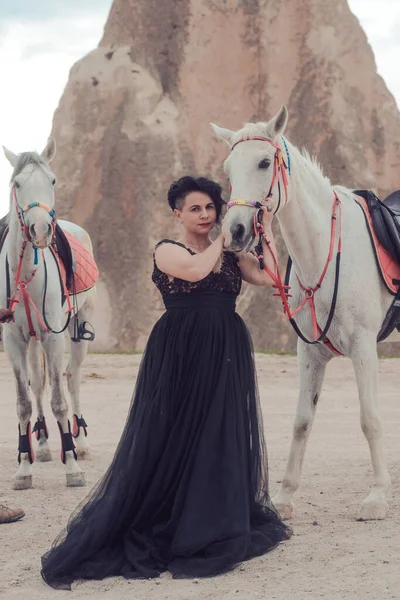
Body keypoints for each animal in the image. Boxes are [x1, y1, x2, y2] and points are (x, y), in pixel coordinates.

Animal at [0, 141, 98, 492]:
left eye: (53, 180)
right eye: (16, 183)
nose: (40, 230)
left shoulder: (53, 337)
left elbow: (59, 399)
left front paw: (71, 466)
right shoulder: (14, 340)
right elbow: (24, 401)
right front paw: (23, 468)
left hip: (77, 331)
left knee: (72, 379)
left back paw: (80, 443)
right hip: (31, 341)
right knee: (38, 382)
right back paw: (40, 445)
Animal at [212, 108, 396, 520]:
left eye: (264, 163)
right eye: (228, 170)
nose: (235, 232)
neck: (326, 248)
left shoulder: (364, 348)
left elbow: (371, 420)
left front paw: (378, 496)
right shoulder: (309, 353)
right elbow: (301, 422)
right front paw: (285, 496)